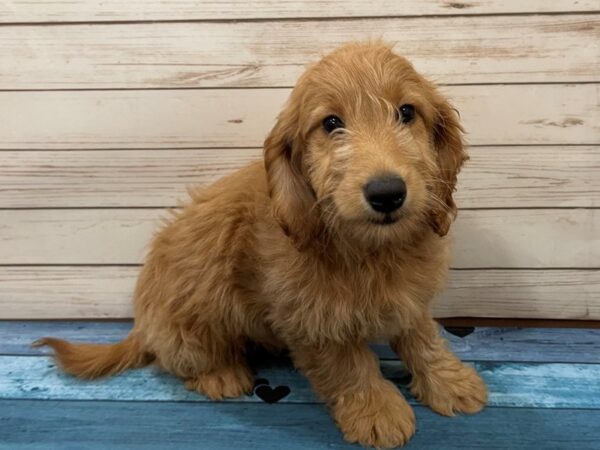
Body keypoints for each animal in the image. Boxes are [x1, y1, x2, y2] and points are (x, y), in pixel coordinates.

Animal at [35, 41, 488, 446]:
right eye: (331, 124)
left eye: (407, 112)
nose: (387, 193)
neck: (370, 247)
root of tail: (141, 325)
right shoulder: (312, 320)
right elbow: (350, 366)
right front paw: (376, 411)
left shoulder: (410, 297)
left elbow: (422, 337)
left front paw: (449, 381)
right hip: (189, 328)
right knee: (180, 360)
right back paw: (220, 375)